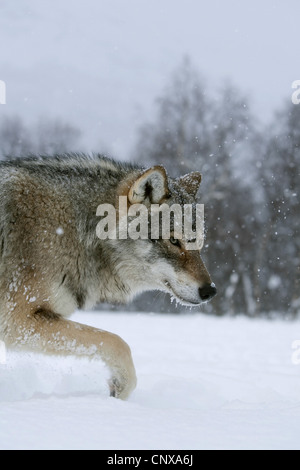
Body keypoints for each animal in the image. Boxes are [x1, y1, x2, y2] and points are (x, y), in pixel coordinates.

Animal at [0, 156, 216, 398]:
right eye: (174, 241)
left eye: (199, 243)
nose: (210, 291)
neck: (76, 231)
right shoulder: (17, 319)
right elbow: (117, 343)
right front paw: (120, 389)